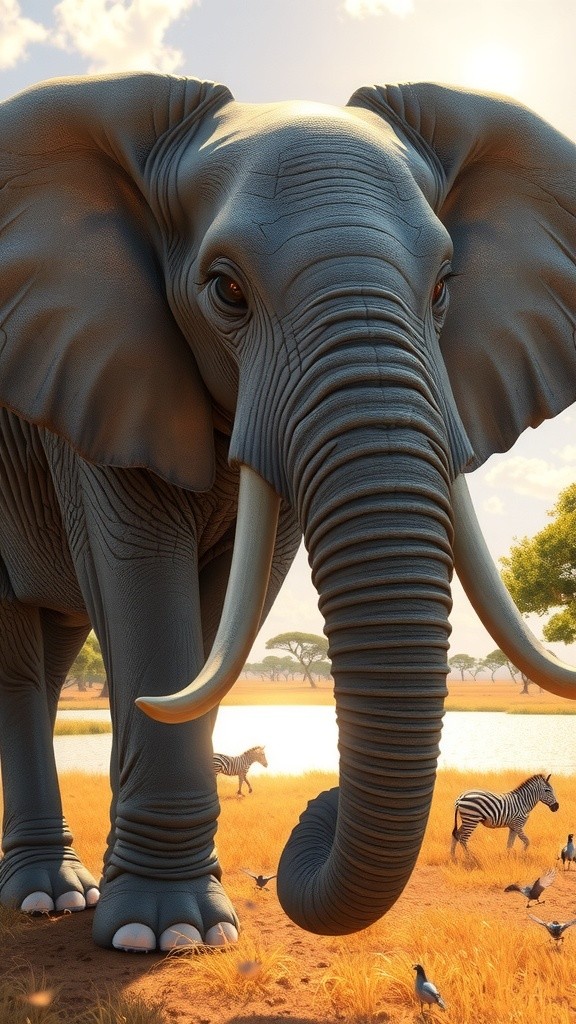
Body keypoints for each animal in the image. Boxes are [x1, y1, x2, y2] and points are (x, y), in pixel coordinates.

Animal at [1, 72, 576, 952]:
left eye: (445, 287)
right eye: (226, 290)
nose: (321, 802)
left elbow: (225, 609)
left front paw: (167, 922)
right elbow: (144, 587)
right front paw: (164, 934)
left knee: (54, 647)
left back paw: (63, 890)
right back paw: (45, 898)